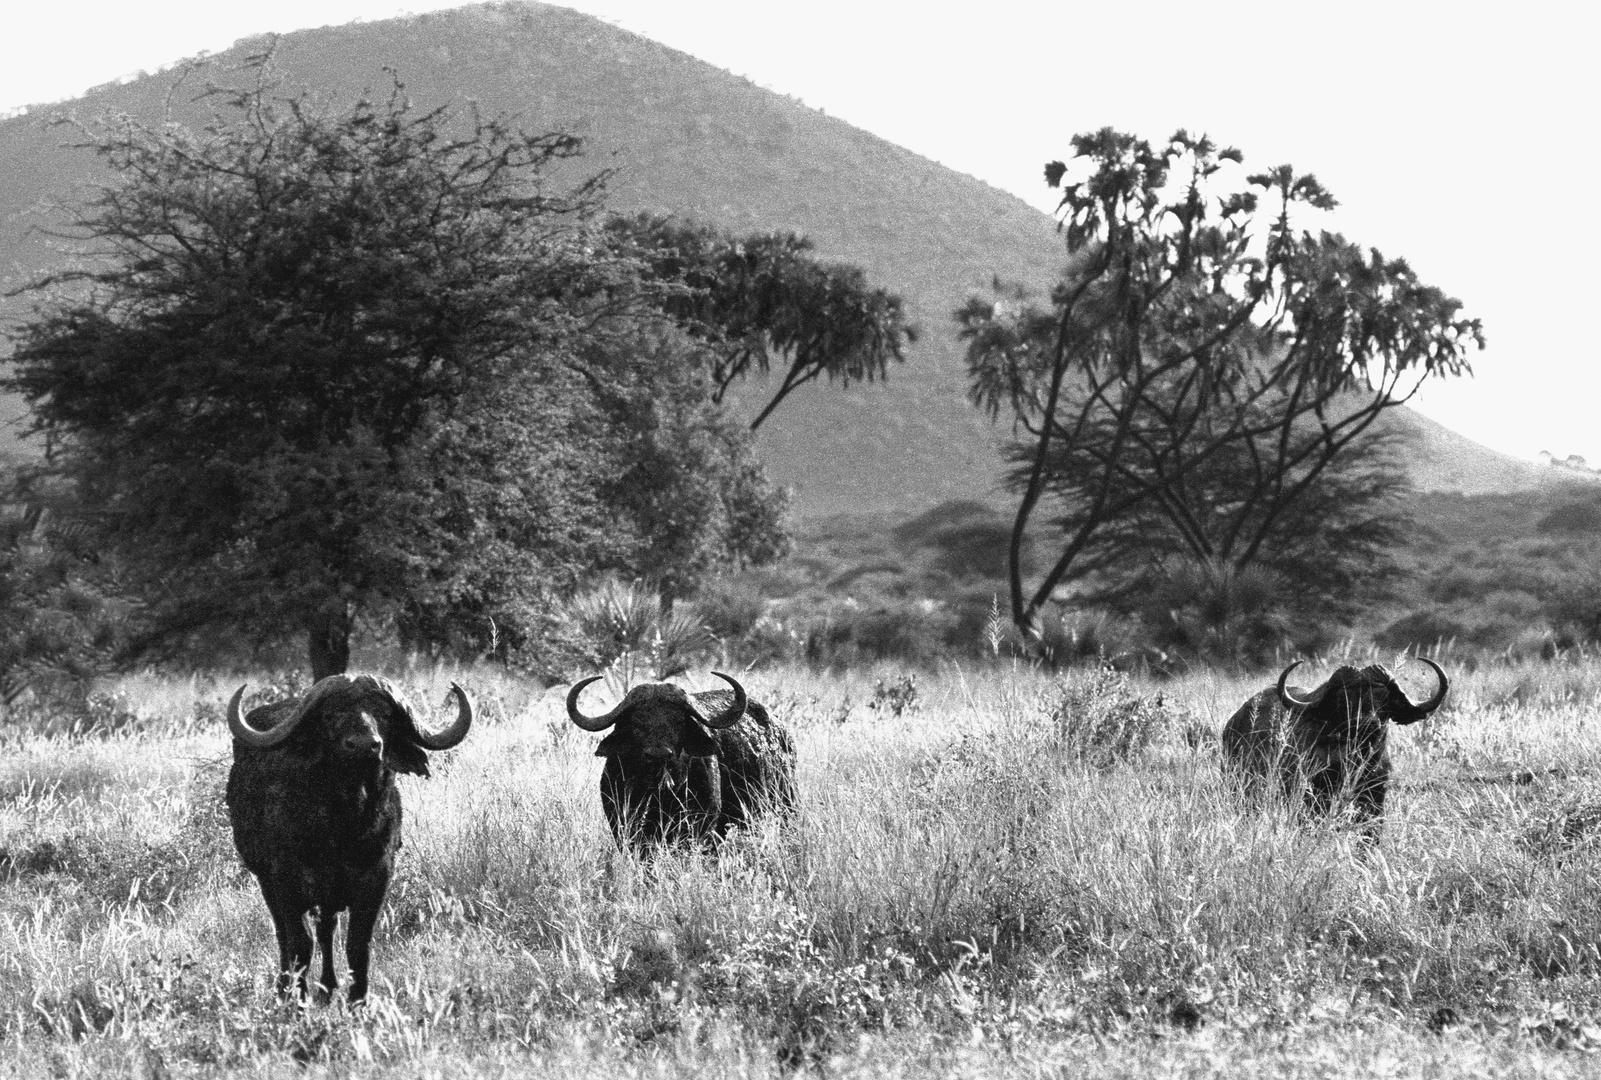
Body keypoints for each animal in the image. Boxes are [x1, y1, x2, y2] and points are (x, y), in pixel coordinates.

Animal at [225, 675, 473, 1004]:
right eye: (330, 715)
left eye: (384, 714)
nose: (365, 745)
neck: (342, 827)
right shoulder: (284, 880)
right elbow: (299, 943)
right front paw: (297, 1000)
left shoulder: (377, 878)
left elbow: (357, 943)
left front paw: (358, 1001)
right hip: (267, 881)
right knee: (285, 935)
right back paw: (285, 987)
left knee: (326, 928)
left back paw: (327, 988)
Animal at [569, 668, 800, 851]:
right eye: (637, 722)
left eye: (679, 721)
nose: (659, 754)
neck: (658, 794)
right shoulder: (622, 824)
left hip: (788, 802)